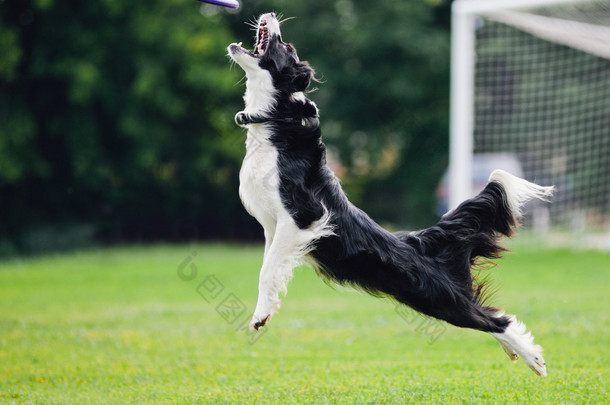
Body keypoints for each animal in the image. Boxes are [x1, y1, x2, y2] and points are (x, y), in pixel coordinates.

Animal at [227, 11, 552, 376]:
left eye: (286, 46)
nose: (270, 14)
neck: (275, 119)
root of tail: (419, 242)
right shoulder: (274, 228)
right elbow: (270, 265)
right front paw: (265, 310)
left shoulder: (304, 217)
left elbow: (267, 270)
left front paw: (260, 317)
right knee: (489, 315)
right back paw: (516, 352)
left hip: (438, 297)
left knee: (494, 319)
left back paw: (533, 359)